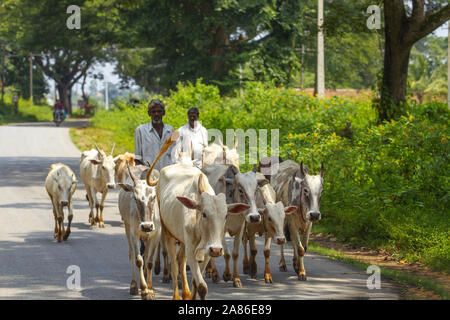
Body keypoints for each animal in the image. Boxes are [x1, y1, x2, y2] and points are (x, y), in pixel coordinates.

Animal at [118, 165, 161, 300]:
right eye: (135, 198)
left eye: (153, 197)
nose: (146, 226)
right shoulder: (134, 234)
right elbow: (139, 260)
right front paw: (144, 290)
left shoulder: (156, 235)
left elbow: (150, 261)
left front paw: (150, 289)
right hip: (127, 229)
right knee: (132, 254)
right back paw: (134, 285)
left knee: (146, 256)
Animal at [150, 162, 250, 300]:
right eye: (204, 214)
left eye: (226, 215)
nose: (217, 250)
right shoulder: (191, 250)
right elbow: (202, 286)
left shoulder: (207, 252)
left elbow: (196, 282)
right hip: (168, 234)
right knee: (174, 267)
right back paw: (176, 295)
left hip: (183, 241)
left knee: (181, 261)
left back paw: (186, 293)